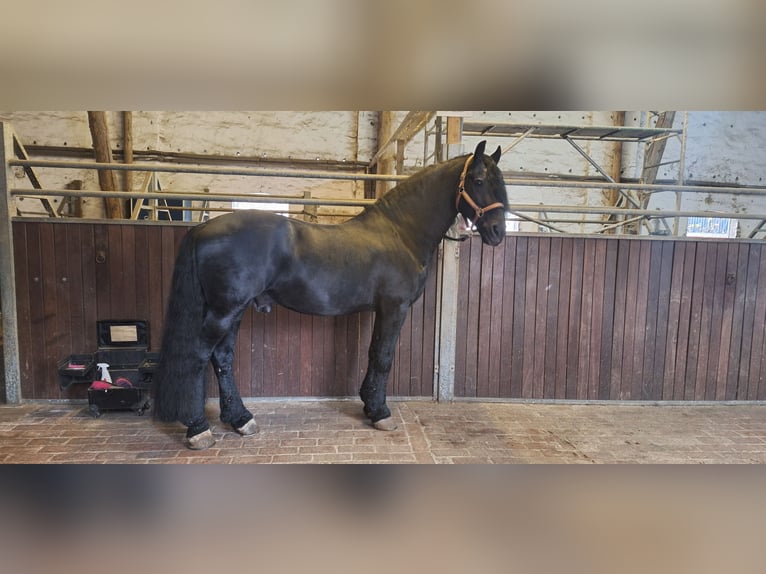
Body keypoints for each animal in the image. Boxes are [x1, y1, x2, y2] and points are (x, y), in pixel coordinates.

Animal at [153, 140, 509, 449]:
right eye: (478, 180)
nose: (497, 233)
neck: (400, 232)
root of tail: (202, 228)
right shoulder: (395, 308)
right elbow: (383, 357)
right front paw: (380, 413)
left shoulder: (380, 310)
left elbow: (372, 353)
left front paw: (369, 405)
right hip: (224, 310)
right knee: (199, 357)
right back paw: (199, 429)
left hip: (233, 310)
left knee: (222, 358)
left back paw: (241, 419)